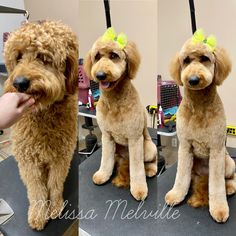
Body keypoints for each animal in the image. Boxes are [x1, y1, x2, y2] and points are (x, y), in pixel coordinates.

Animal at [3, 21, 79, 230]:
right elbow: (36, 190)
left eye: (43, 57)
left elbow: (55, 184)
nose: (19, 83)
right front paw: (38, 215)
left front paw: (56, 207)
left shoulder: (61, 157)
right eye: (18, 57)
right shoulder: (28, 161)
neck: (43, 114)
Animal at [84, 28, 158, 201]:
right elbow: (106, 160)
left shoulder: (135, 138)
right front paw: (103, 175)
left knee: (149, 162)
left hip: (149, 148)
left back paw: (150, 170)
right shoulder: (107, 137)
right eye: (97, 57)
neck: (115, 101)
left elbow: (137, 168)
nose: (101, 75)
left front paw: (139, 189)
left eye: (113, 56)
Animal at [164, 30, 236, 223]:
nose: (193, 79)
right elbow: (181, 176)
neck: (199, 105)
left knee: (228, 179)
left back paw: (230, 187)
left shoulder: (217, 150)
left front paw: (219, 208)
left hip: (228, 163)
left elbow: (217, 185)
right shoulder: (185, 147)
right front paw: (177, 194)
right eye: (186, 60)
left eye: (205, 58)